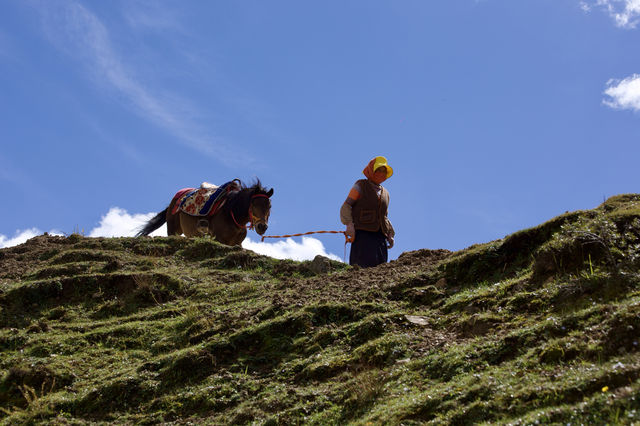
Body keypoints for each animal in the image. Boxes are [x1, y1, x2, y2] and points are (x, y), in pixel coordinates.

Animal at [138, 180, 272, 246]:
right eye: (254, 204)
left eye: (270, 206)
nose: (262, 227)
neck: (231, 213)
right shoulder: (219, 239)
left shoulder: (237, 244)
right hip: (172, 230)